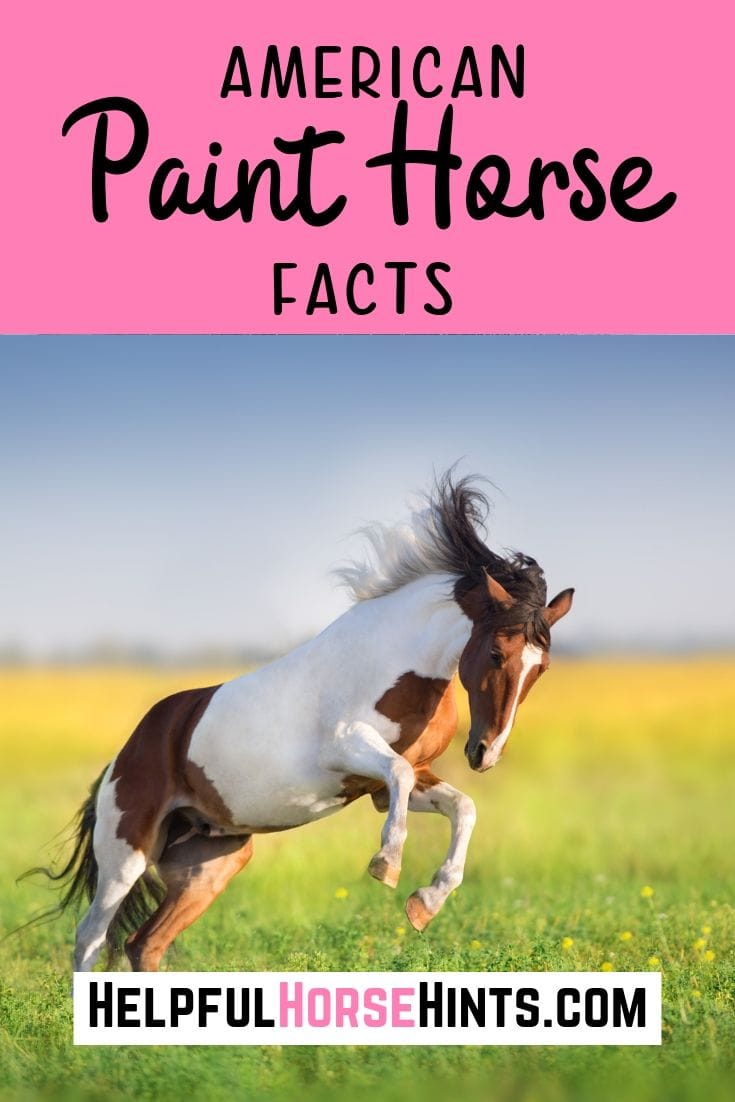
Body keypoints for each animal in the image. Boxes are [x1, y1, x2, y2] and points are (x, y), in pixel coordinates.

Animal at [31, 473, 573, 972]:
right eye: (497, 651)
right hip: (126, 853)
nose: (486, 753)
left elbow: (463, 808)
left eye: (541, 668)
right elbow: (401, 778)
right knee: (90, 938)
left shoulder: (391, 785)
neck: (397, 659)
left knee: (144, 944)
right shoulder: (349, 748)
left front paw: (425, 904)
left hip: (211, 864)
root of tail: (124, 755)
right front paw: (386, 866)